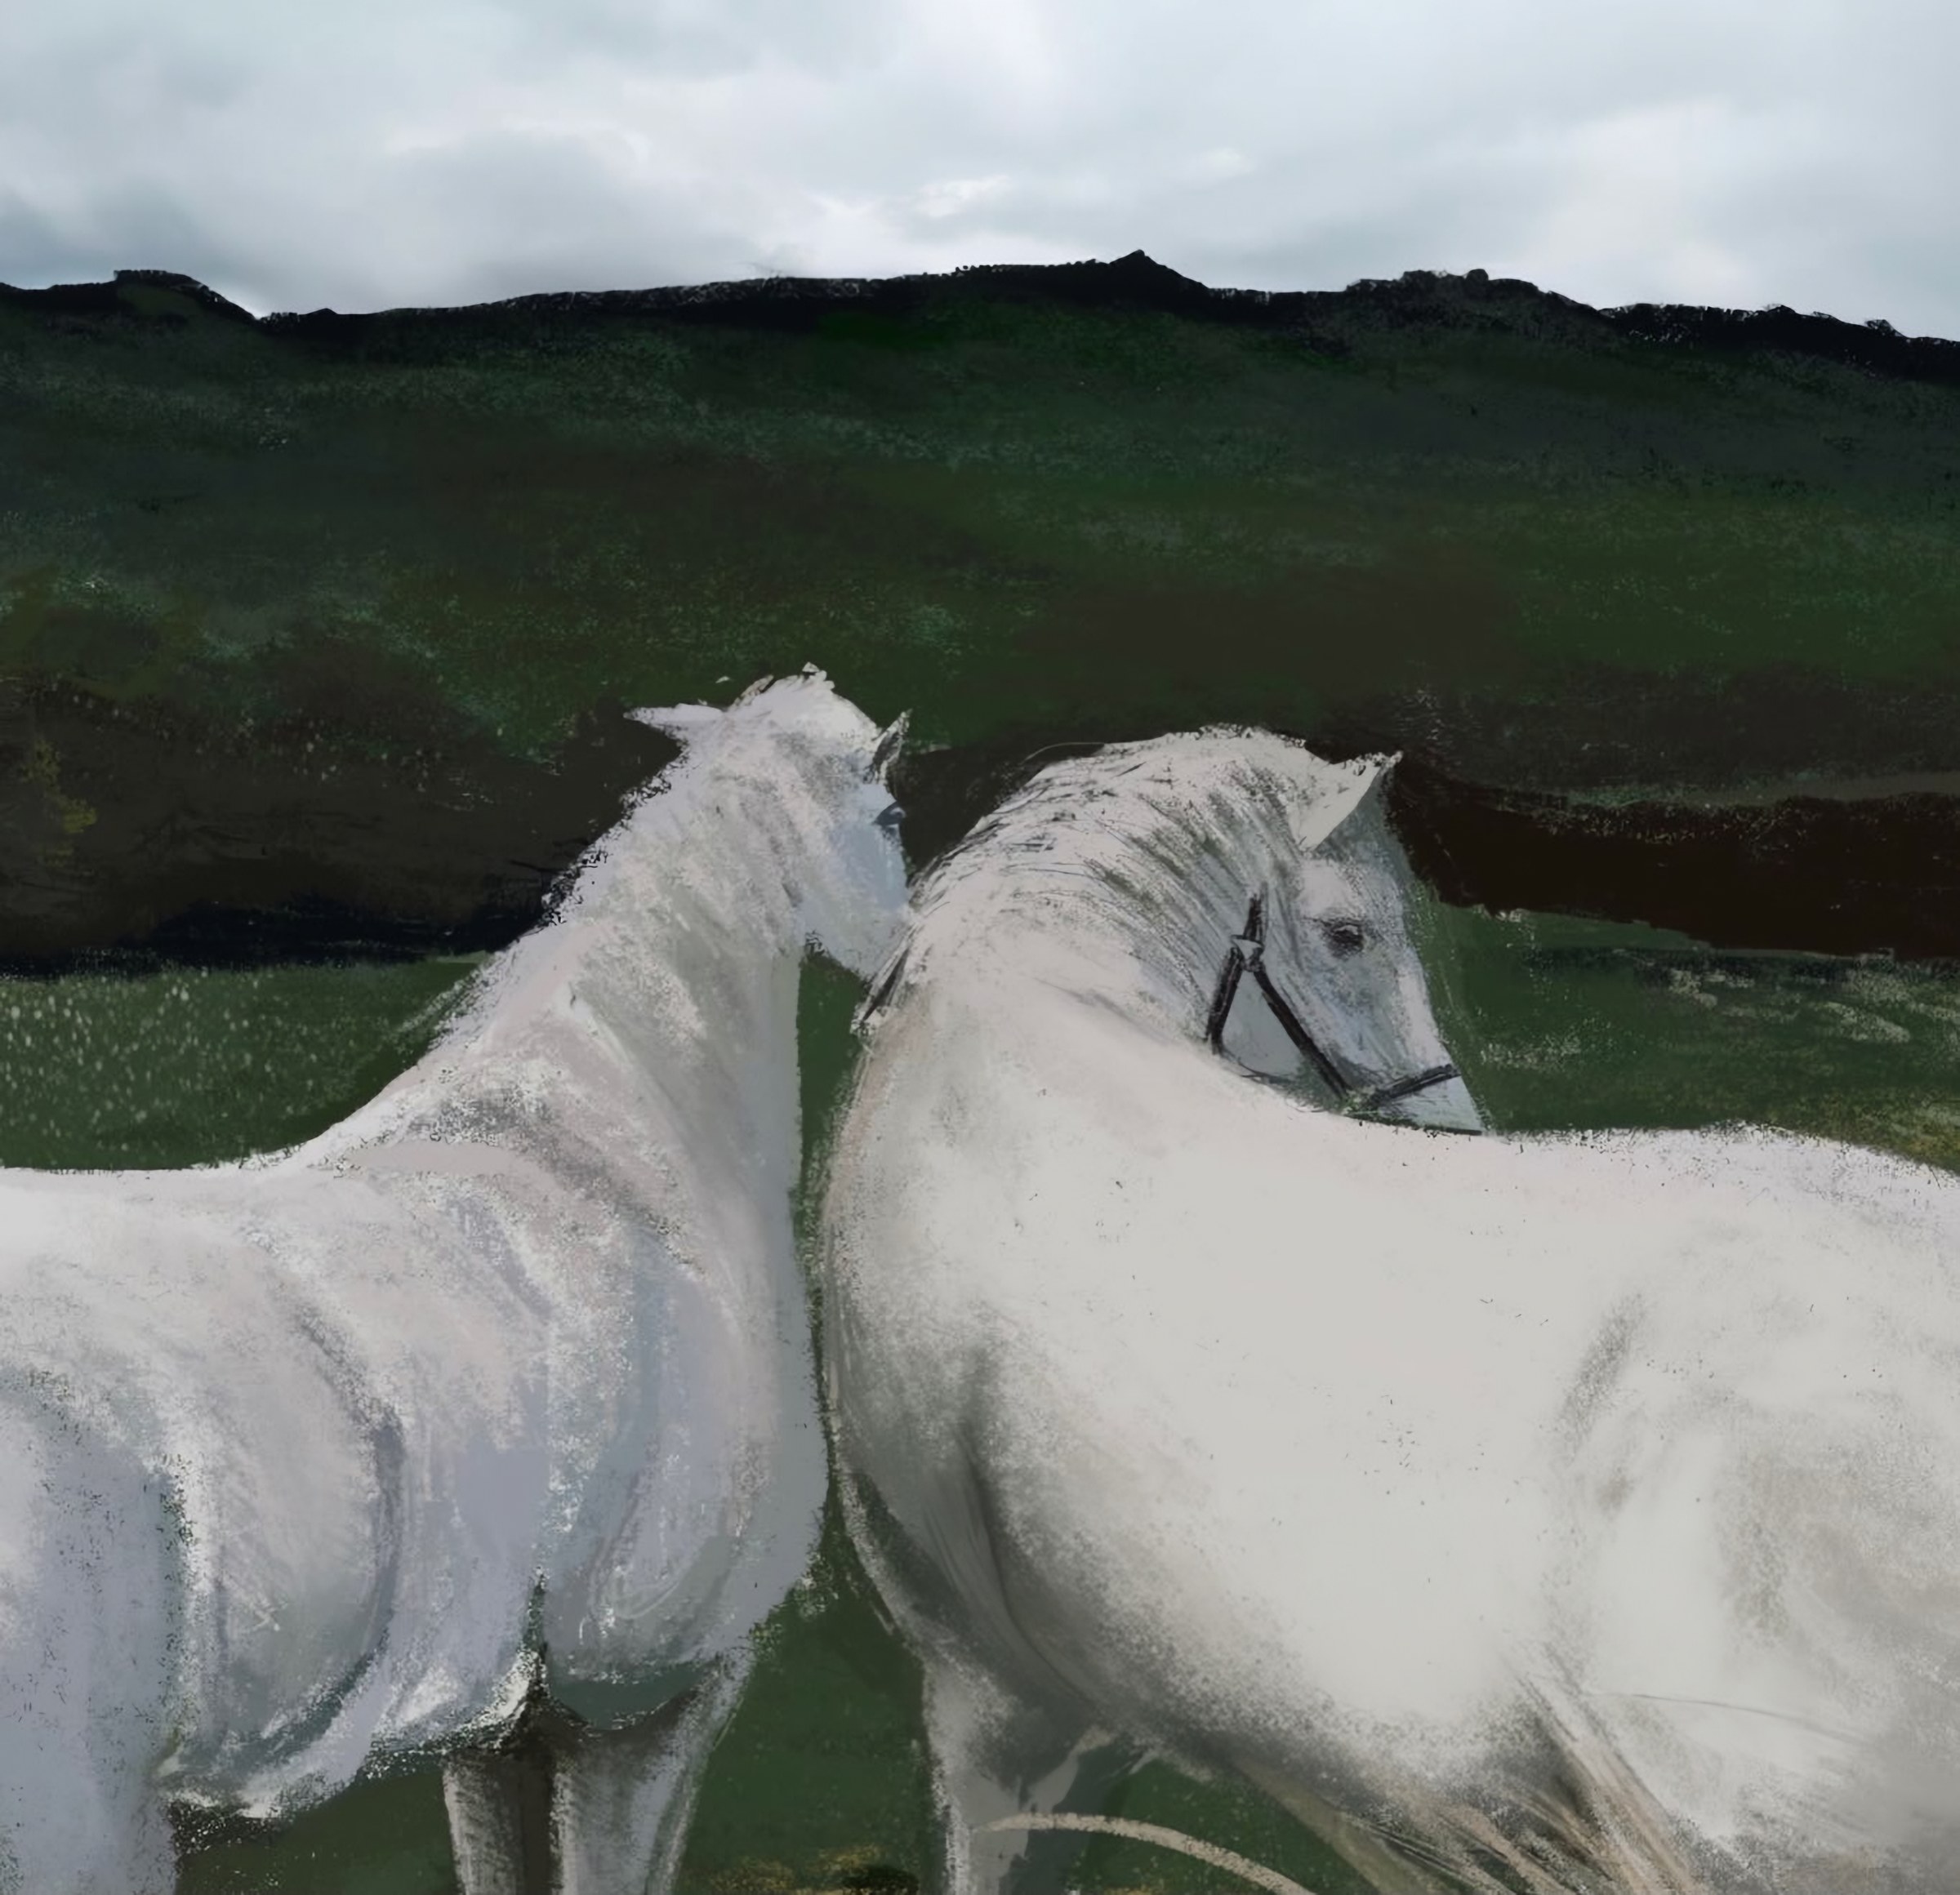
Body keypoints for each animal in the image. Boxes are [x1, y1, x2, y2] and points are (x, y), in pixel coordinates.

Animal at [0, 667, 909, 1895]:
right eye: (894, 818)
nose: (906, 965)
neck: (621, 1146)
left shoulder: (505, 1729)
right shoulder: (639, 1701)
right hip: (77, 1830)